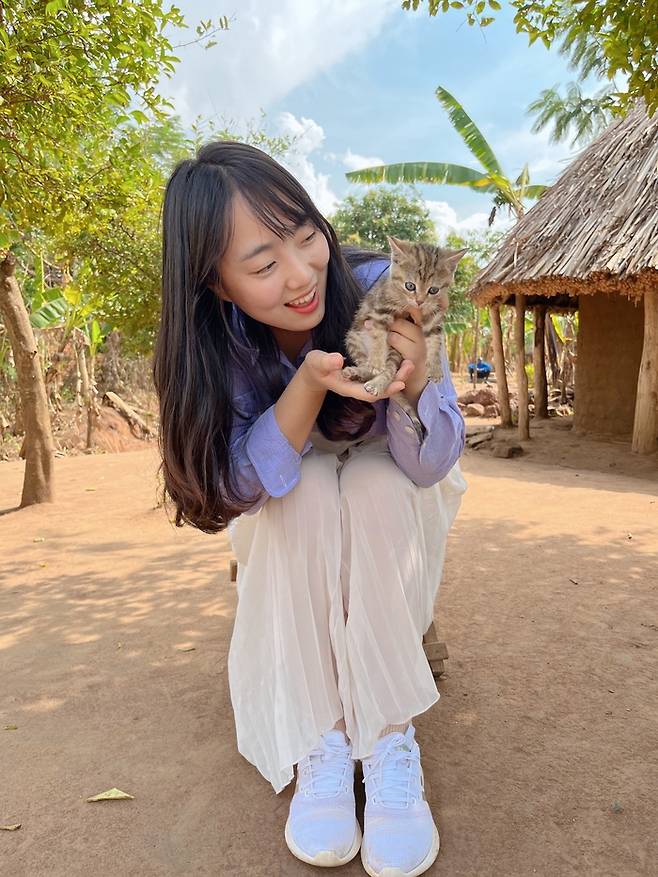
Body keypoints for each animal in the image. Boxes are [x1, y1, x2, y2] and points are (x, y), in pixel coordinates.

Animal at [340, 236, 464, 438]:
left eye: (433, 290)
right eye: (410, 286)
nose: (419, 301)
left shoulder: (433, 317)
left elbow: (435, 341)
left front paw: (435, 368)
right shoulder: (380, 310)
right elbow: (378, 336)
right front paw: (376, 360)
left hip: (394, 352)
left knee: (389, 371)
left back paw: (372, 381)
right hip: (353, 338)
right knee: (367, 364)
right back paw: (361, 372)